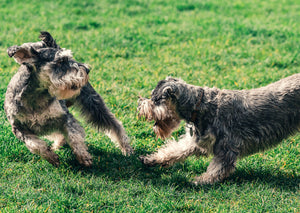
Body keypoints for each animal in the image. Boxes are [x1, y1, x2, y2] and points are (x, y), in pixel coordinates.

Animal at [4, 31, 133, 166]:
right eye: (60, 61)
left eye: (69, 58)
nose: (87, 69)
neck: (35, 98)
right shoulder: (19, 128)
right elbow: (35, 145)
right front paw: (51, 157)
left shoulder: (65, 118)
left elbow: (73, 136)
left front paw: (83, 157)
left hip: (93, 104)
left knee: (115, 125)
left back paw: (126, 148)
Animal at [138, 75, 300, 184]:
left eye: (155, 99)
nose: (139, 105)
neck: (200, 105)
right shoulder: (196, 141)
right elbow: (175, 150)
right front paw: (152, 159)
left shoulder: (226, 147)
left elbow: (218, 168)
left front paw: (201, 180)